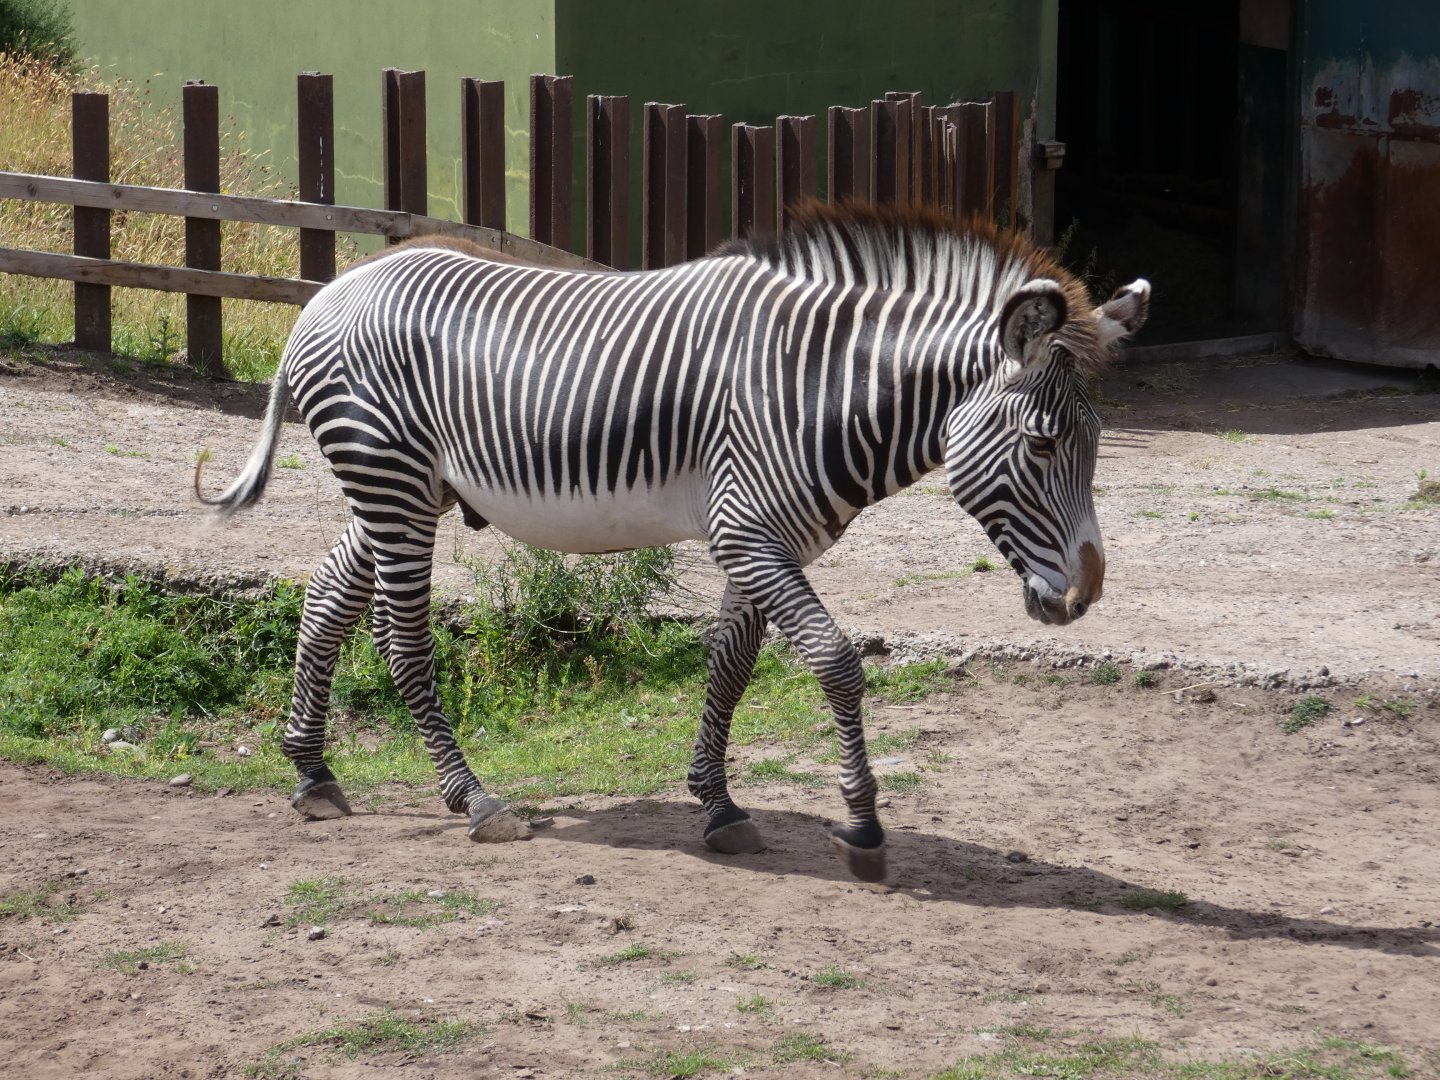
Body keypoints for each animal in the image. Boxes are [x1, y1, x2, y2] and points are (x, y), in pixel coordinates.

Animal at [197, 201, 1149, 882]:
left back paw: (313, 775)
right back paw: (472, 798)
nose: (1085, 596)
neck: (817, 385)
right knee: (401, 643)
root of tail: (329, 291)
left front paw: (718, 805)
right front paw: (862, 826)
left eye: (1098, 441)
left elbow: (730, 664)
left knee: (327, 594)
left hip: (403, 489)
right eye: (1042, 445)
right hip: (389, 478)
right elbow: (836, 661)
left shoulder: (769, 540)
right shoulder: (747, 529)